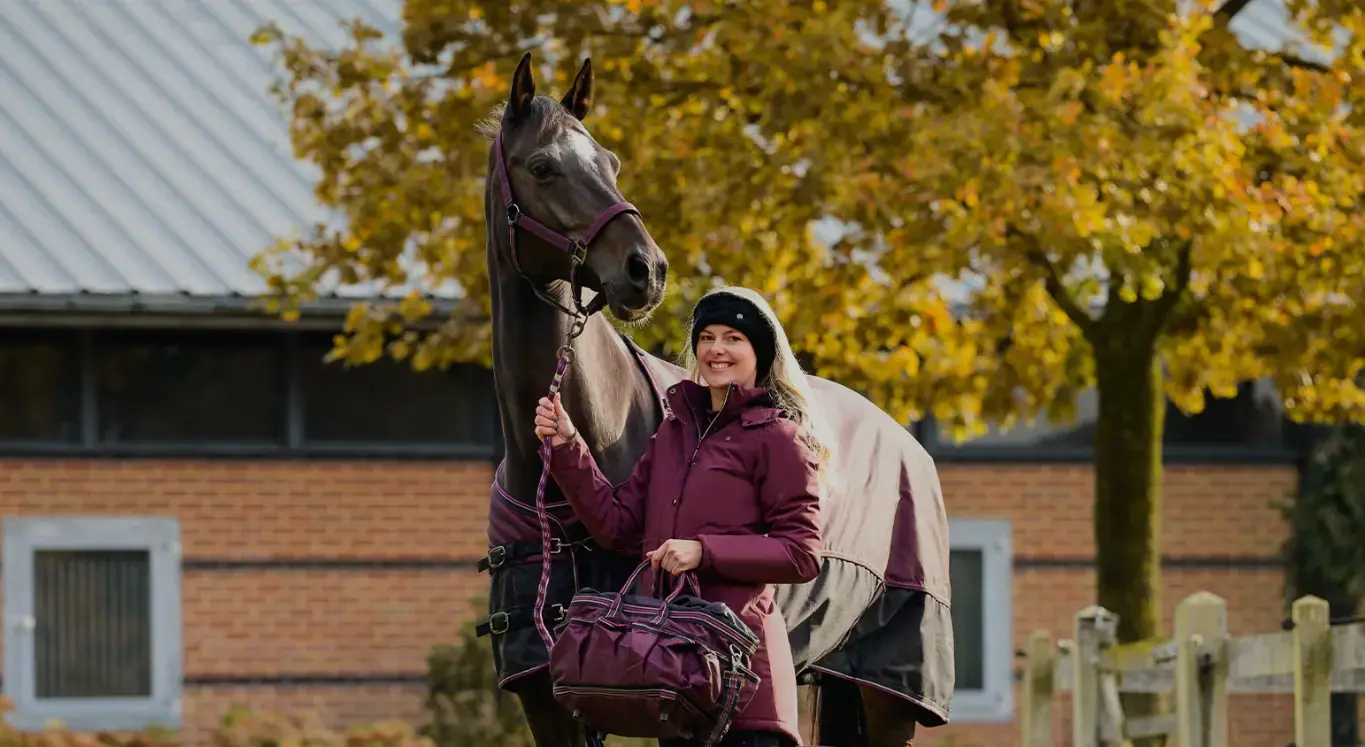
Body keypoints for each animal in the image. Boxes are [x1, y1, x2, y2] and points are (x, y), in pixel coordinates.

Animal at [475, 52, 954, 747]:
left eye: (611, 161)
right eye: (542, 166)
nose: (646, 268)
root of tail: (908, 444)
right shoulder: (545, 693)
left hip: (889, 694)